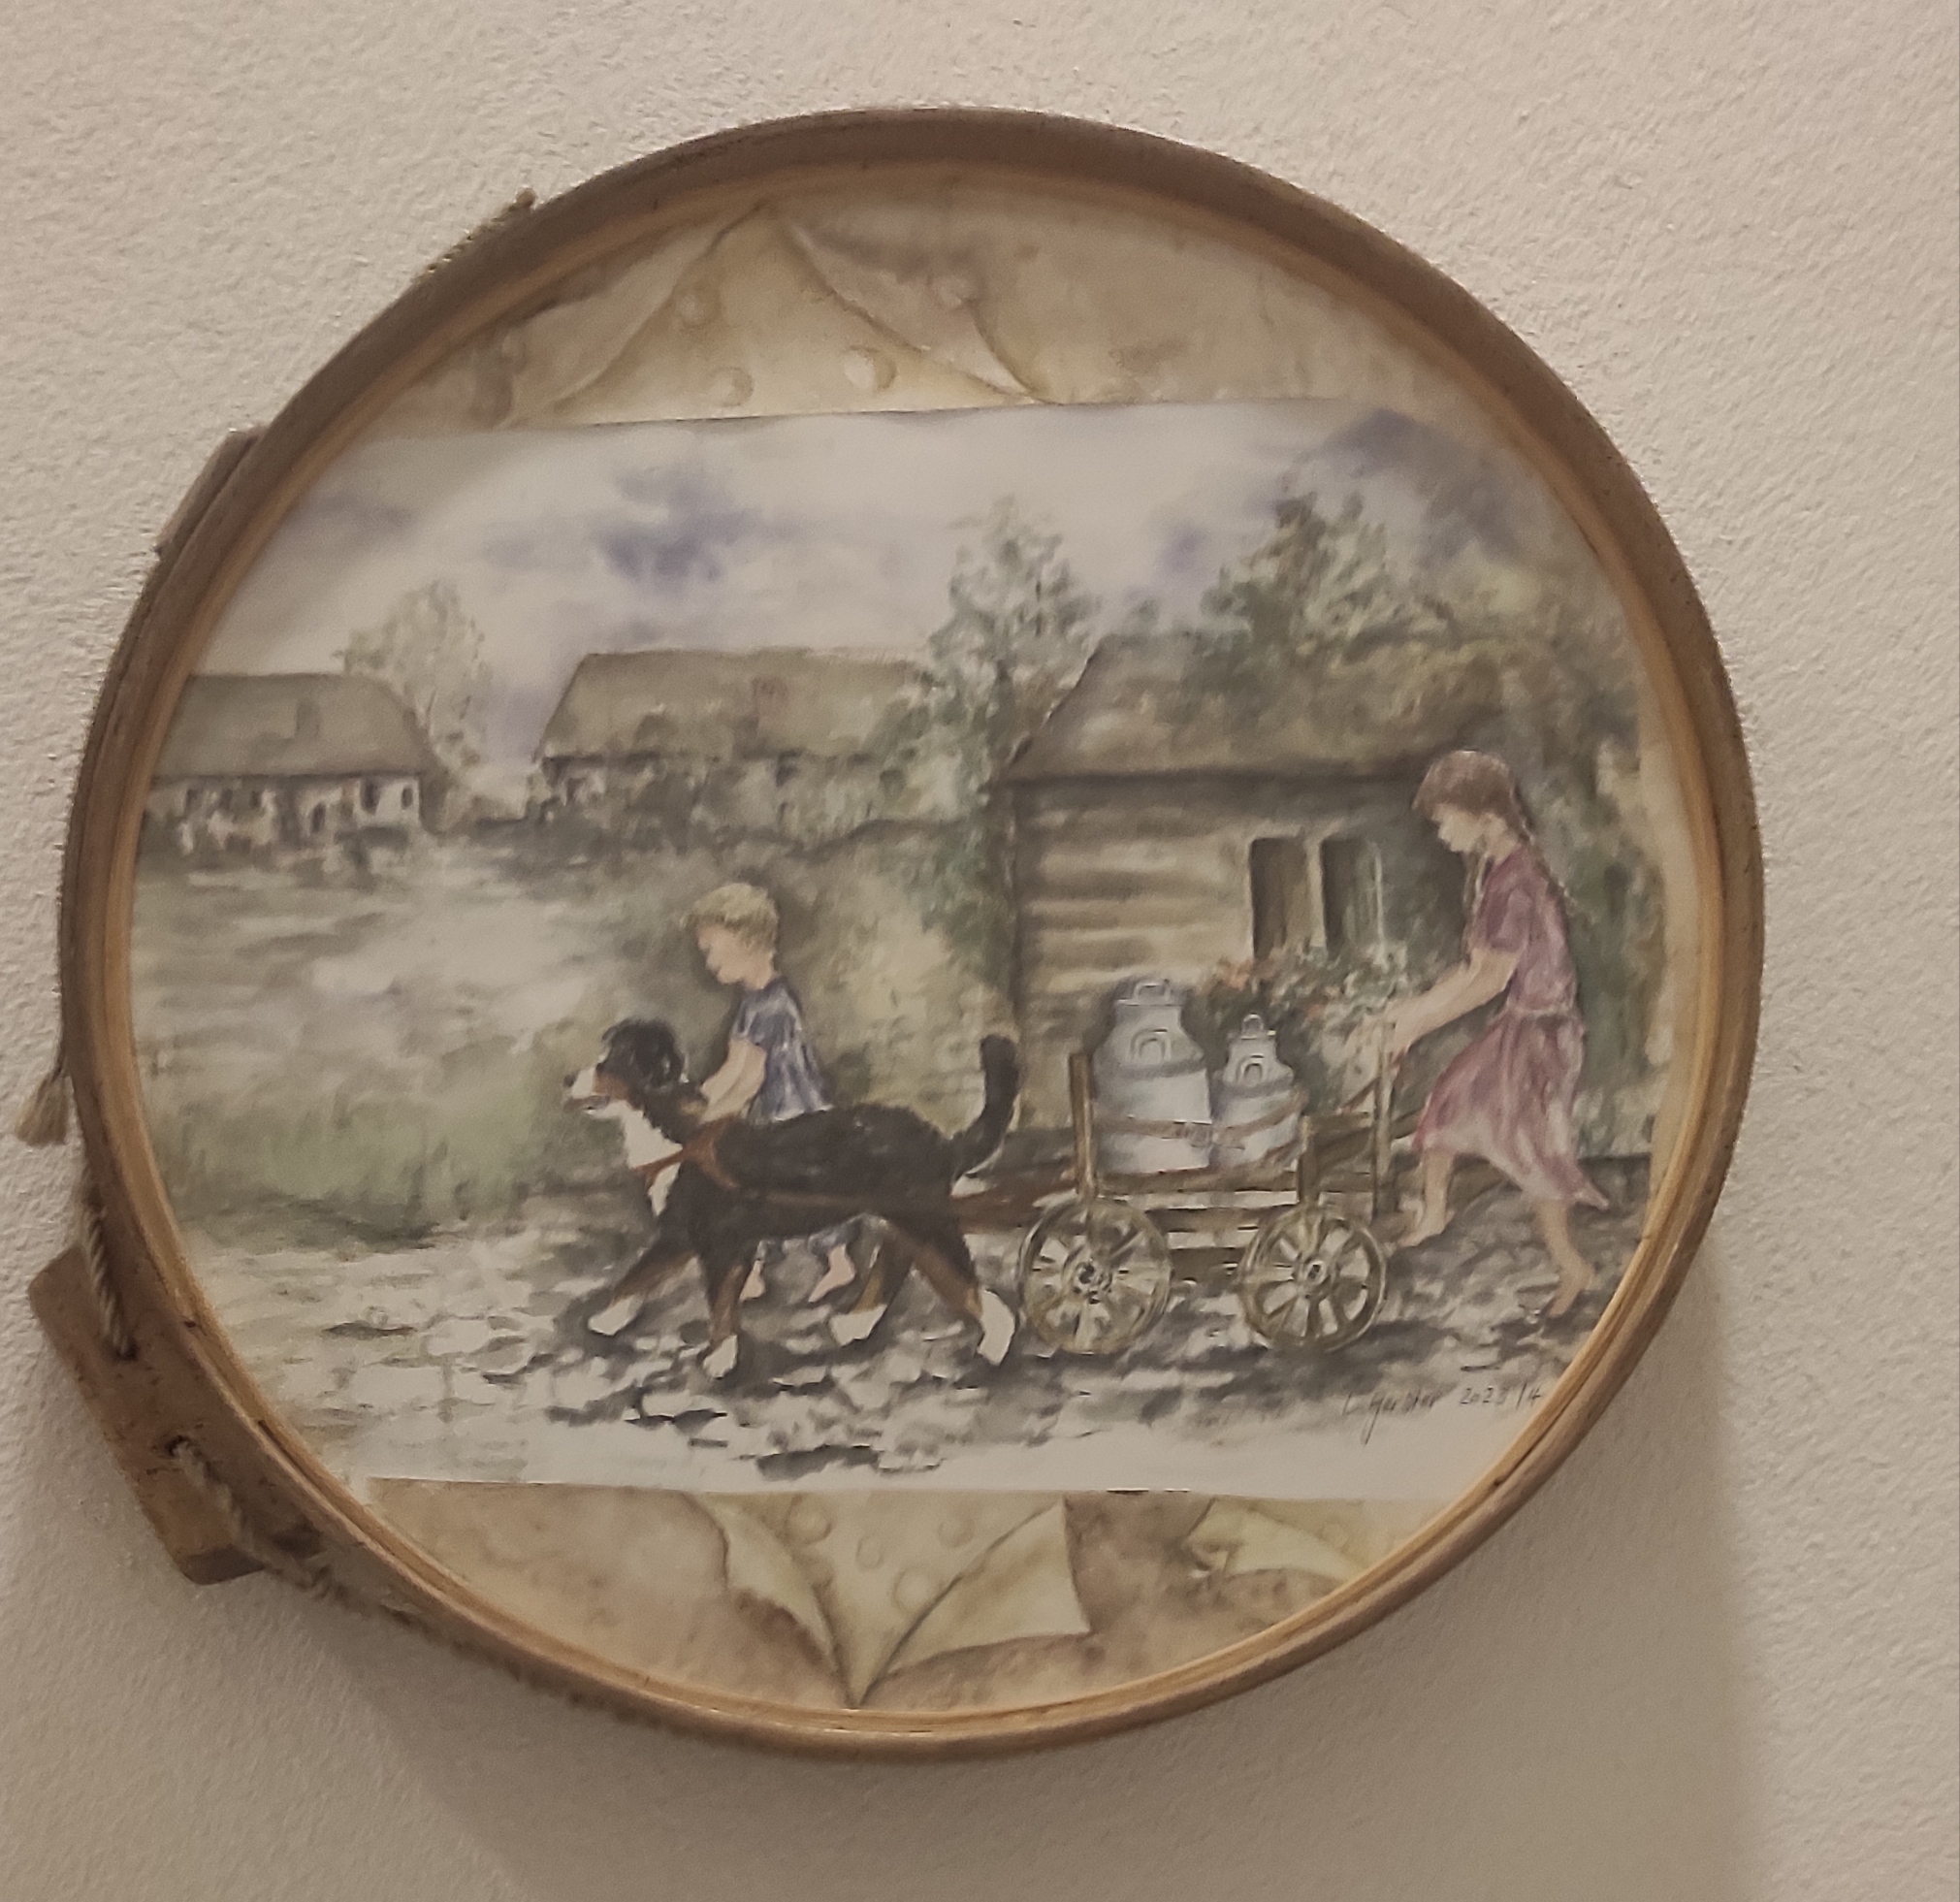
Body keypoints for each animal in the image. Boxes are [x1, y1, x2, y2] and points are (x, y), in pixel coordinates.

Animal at [564, 1019, 1019, 1379]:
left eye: (610, 1060)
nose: (567, 1080)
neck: (677, 1137)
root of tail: (940, 1141)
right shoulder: (684, 1234)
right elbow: (639, 1275)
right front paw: (610, 1319)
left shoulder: (718, 1242)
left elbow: (712, 1299)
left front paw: (720, 1358)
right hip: (904, 1219)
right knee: (899, 1264)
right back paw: (855, 1325)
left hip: (926, 1220)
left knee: (962, 1281)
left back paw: (995, 1346)